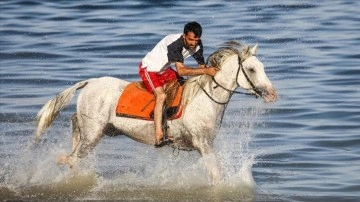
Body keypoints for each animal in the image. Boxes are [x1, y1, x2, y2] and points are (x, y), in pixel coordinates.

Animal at [35, 42, 278, 185]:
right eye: (252, 69)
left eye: (262, 66)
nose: (272, 94)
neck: (205, 98)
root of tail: (90, 82)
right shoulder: (203, 144)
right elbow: (217, 175)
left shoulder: (205, 144)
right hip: (94, 134)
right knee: (73, 157)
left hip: (102, 130)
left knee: (74, 130)